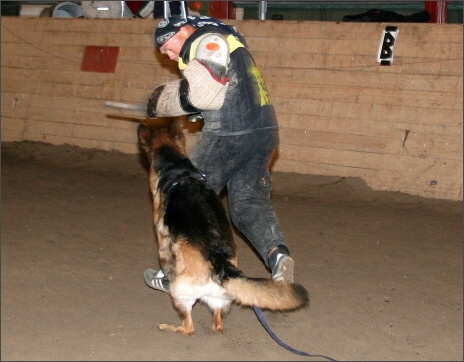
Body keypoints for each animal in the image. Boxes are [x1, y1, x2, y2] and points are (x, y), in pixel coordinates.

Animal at [137, 120, 308, 336]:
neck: (176, 167)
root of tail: (219, 265)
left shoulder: (163, 238)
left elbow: (164, 257)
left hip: (180, 293)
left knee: (189, 327)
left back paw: (170, 326)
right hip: (219, 298)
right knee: (217, 323)